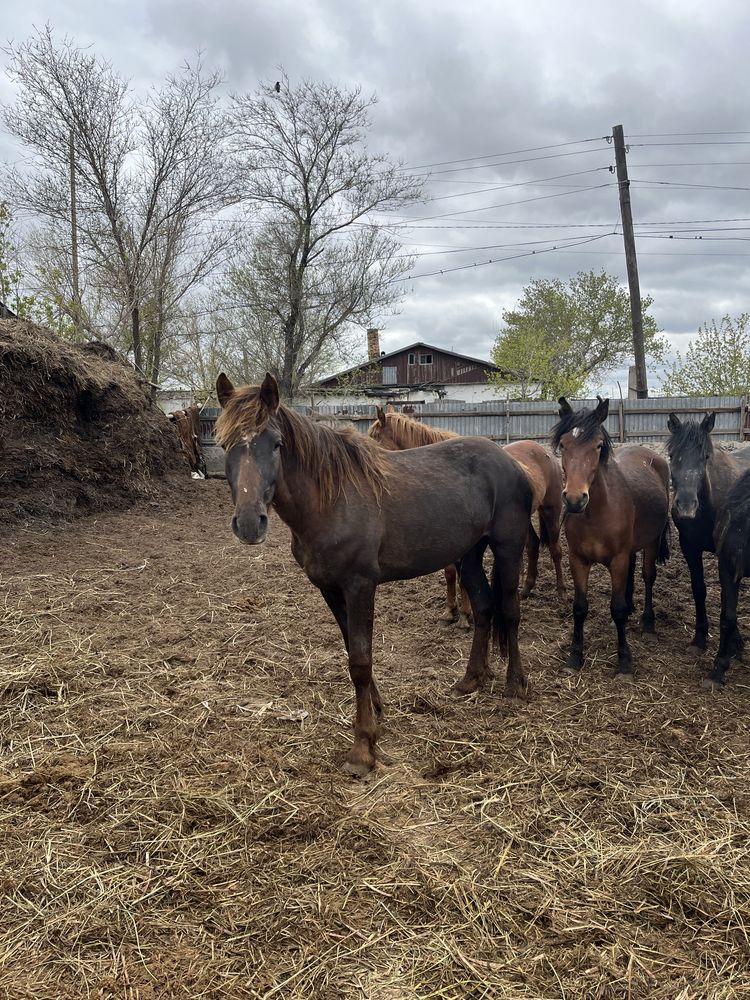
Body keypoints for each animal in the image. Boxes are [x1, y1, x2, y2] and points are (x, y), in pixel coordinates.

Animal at [216, 374, 536, 772]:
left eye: (276, 444)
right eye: (224, 444)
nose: (249, 523)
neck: (331, 501)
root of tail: (512, 462)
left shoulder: (360, 586)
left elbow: (360, 660)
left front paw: (363, 747)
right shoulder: (330, 589)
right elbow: (353, 652)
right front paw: (376, 710)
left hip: (508, 547)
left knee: (509, 610)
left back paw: (515, 685)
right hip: (469, 555)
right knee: (483, 607)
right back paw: (471, 680)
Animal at [368, 406, 568, 600]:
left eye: (375, 439)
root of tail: (542, 450)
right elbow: (450, 573)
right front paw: (452, 607)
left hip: (551, 509)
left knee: (555, 549)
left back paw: (561, 591)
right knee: (532, 544)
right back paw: (527, 587)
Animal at [552, 394, 668, 676]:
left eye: (598, 446)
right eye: (564, 444)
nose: (574, 499)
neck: (598, 513)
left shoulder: (617, 560)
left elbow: (617, 609)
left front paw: (624, 660)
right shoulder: (578, 560)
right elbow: (580, 607)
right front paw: (575, 656)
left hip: (652, 541)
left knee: (648, 575)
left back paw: (648, 622)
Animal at [668, 410, 750, 652]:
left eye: (705, 457)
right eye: (671, 455)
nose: (686, 507)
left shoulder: (727, 555)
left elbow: (726, 598)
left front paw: (735, 642)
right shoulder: (689, 547)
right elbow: (699, 589)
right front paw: (700, 636)